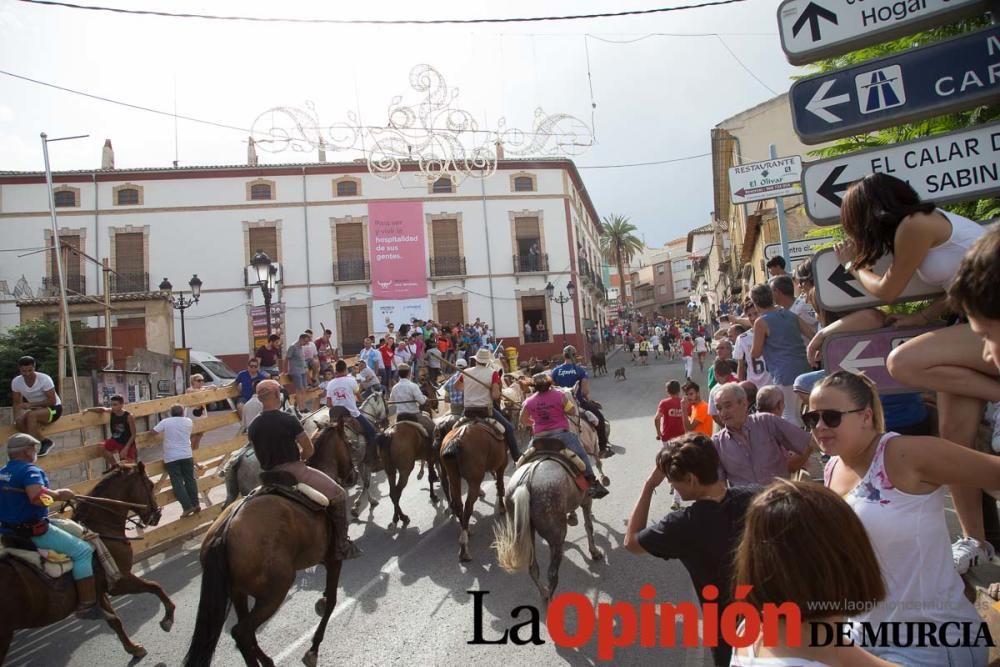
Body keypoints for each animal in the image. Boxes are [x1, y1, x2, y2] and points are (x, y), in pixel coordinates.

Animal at [0, 462, 168, 664]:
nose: (157, 516)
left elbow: (114, 620)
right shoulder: (120, 581)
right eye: (150, 485)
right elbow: (156, 587)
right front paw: (168, 620)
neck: (102, 528)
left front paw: (133, 648)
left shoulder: (99, 590)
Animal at [184, 418, 356, 667]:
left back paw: (264, 660)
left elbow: (327, 599)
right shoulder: (334, 560)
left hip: (238, 592)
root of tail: (224, 531)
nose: (353, 475)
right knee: (241, 632)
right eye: (350, 444)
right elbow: (332, 601)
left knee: (246, 634)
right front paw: (313, 649)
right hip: (274, 592)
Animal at [438, 420, 508, 560]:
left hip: (454, 477)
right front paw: (502, 507)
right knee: (468, 506)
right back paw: (464, 547)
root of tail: (456, 440)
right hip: (473, 480)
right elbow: (500, 484)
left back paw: (466, 530)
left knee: (459, 505)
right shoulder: (501, 465)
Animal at [492, 454, 600, 604]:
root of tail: (525, 482)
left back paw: (543, 592)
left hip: (528, 532)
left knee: (533, 568)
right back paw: (550, 597)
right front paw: (594, 552)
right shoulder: (586, 499)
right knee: (552, 574)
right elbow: (589, 525)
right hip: (555, 537)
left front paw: (572, 517)